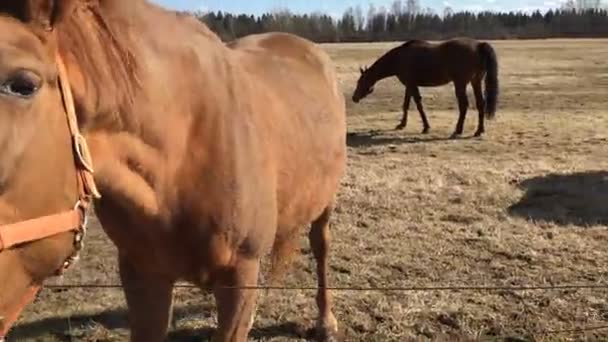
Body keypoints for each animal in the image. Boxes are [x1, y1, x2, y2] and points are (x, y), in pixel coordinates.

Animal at [352, 38, 498, 138]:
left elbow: (418, 105)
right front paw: (402, 124)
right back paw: (479, 130)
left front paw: (426, 127)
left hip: (460, 84)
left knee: (464, 105)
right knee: (480, 104)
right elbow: (406, 104)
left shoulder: (411, 85)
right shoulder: (409, 85)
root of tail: (479, 45)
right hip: (475, 82)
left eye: (360, 81)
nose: (354, 98)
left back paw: (458, 130)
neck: (399, 58)